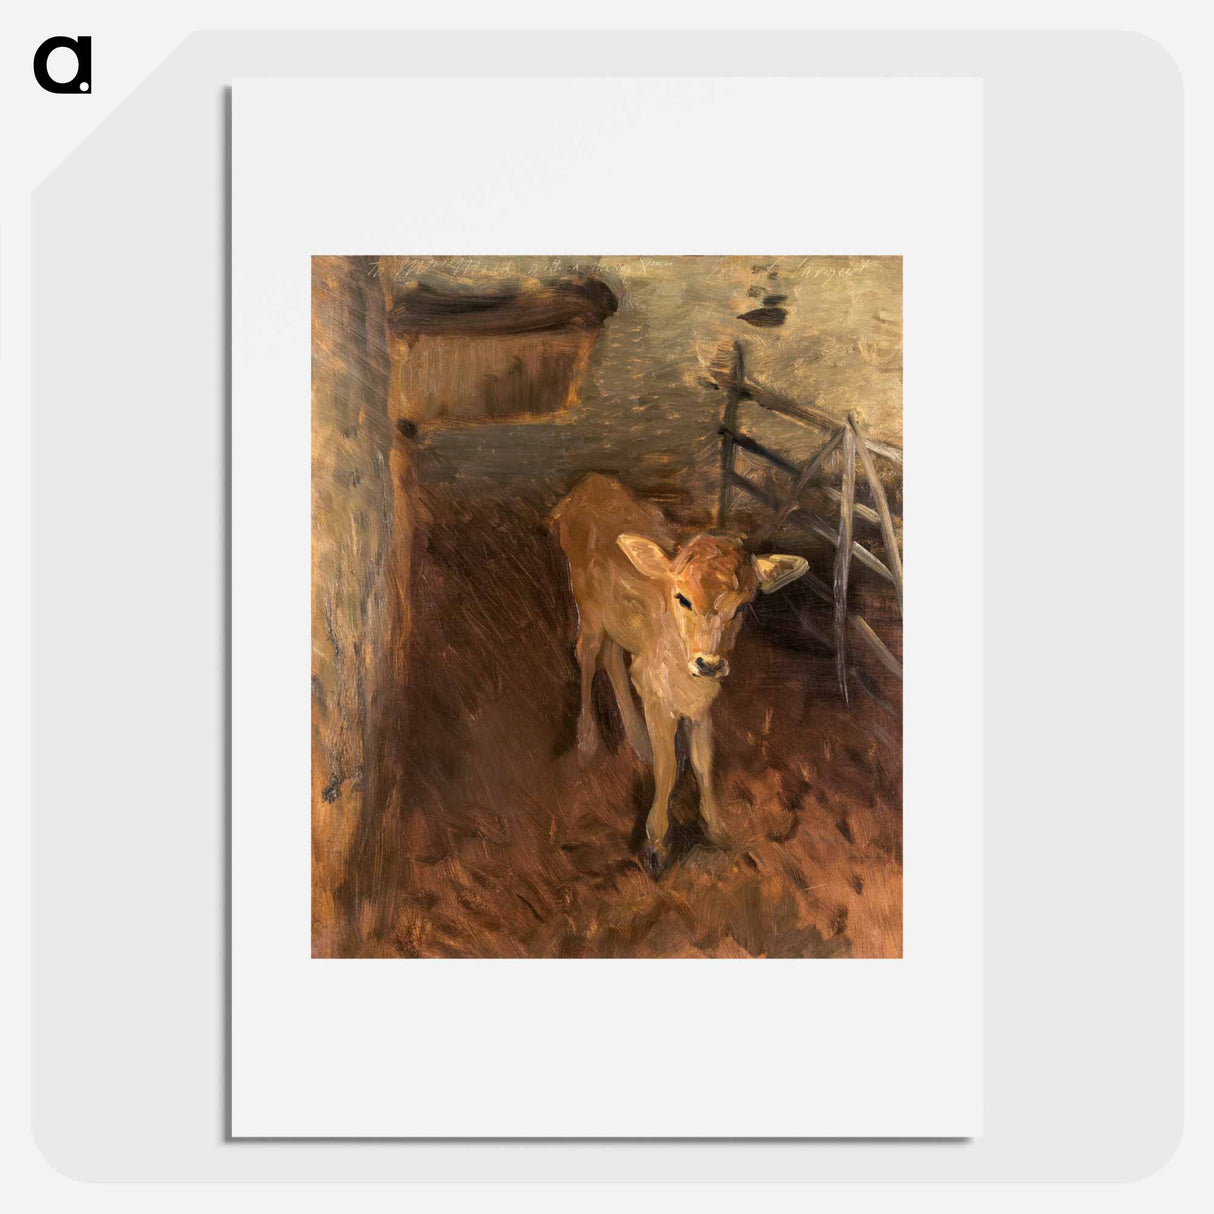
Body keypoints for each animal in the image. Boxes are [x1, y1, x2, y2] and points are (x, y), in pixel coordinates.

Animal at [554, 474, 808, 875]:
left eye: (743, 606)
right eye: (683, 598)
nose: (709, 662)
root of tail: (587, 484)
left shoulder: (701, 702)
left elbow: (704, 762)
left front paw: (717, 829)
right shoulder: (658, 696)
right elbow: (668, 767)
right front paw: (656, 845)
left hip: (616, 623)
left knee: (612, 657)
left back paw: (637, 740)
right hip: (587, 605)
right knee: (586, 654)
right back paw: (587, 740)